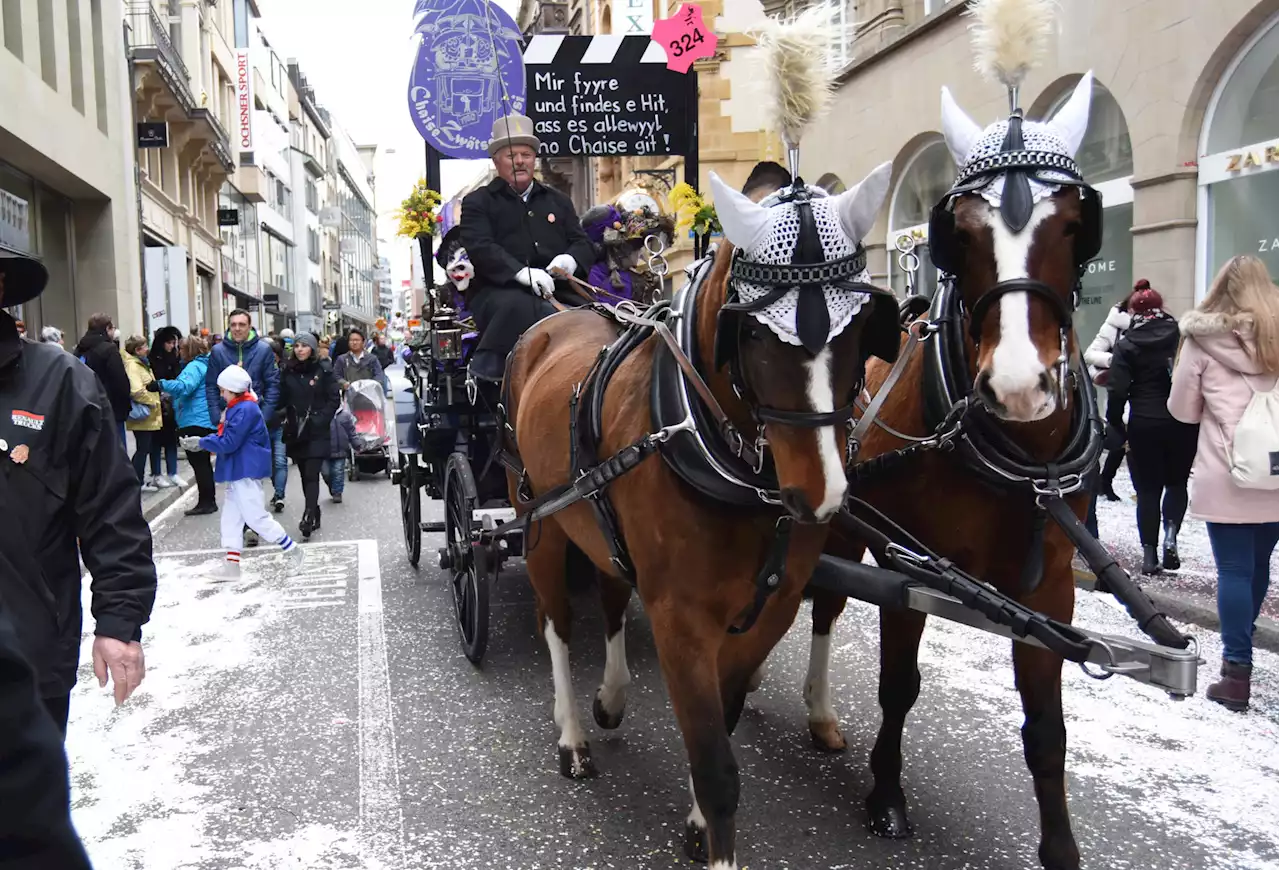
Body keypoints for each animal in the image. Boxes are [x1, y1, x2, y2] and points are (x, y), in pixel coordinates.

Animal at [499, 159, 901, 864]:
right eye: (756, 333)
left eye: (861, 328)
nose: (820, 496)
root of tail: (551, 321)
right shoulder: (681, 617)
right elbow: (716, 768)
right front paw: (711, 831)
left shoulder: (769, 609)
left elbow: (725, 715)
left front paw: (694, 821)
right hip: (542, 522)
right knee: (556, 624)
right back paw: (572, 735)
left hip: (598, 523)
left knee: (610, 594)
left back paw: (611, 698)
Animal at [803, 72, 1105, 870]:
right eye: (960, 232)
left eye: (1075, 224)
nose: (1020, 385)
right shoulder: (910, 568)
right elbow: (900, 684)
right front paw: (886, 794)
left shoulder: (1051, 592)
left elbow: (1047, 729)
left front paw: (1061, 847)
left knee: (823, 604)